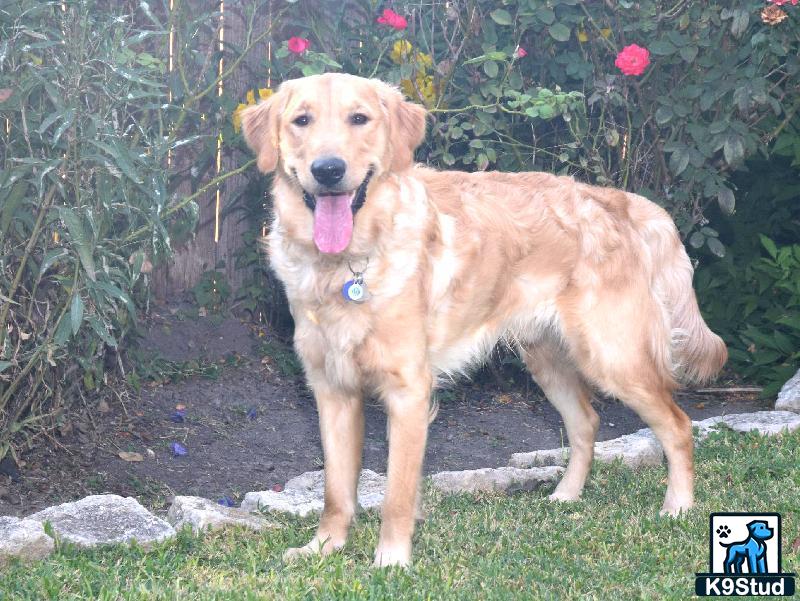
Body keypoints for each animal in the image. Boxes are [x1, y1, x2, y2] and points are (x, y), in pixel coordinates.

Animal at [241, 72, 728, 564]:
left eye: (359, 118)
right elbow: (336, 491)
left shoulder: (408, 392)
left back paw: (678, 507)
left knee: (678, 426)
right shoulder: (332, 390)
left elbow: (397, 495)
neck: (346, 265)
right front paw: (324, 547)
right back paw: (566, 496)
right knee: (586, 423)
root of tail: (617, 199)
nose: (328, 170)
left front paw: (391, 560)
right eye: (302, 120)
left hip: (614, 359)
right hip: (547, 360)